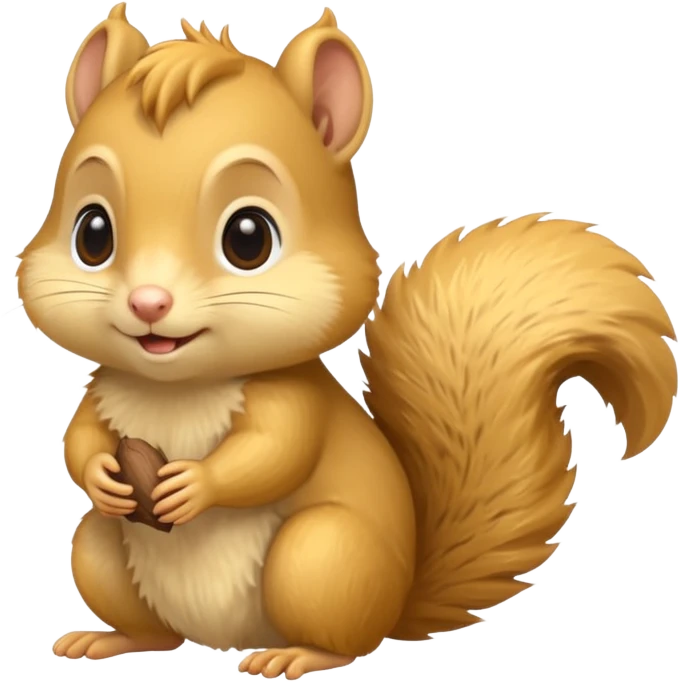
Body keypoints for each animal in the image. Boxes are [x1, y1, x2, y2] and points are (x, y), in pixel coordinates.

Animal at [21, 4, 678, 677]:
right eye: (92, 234)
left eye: (249, 238)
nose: (148, 303)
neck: (179, 387)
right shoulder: (102, 390)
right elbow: (80, 439)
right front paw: (103, 471)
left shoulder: (292, 399)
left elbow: (273, 452)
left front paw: (196, 484)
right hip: (101, 549)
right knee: (144, 615)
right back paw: (111, 639)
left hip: (322, 557)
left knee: (346, 640)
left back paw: (295, 654)